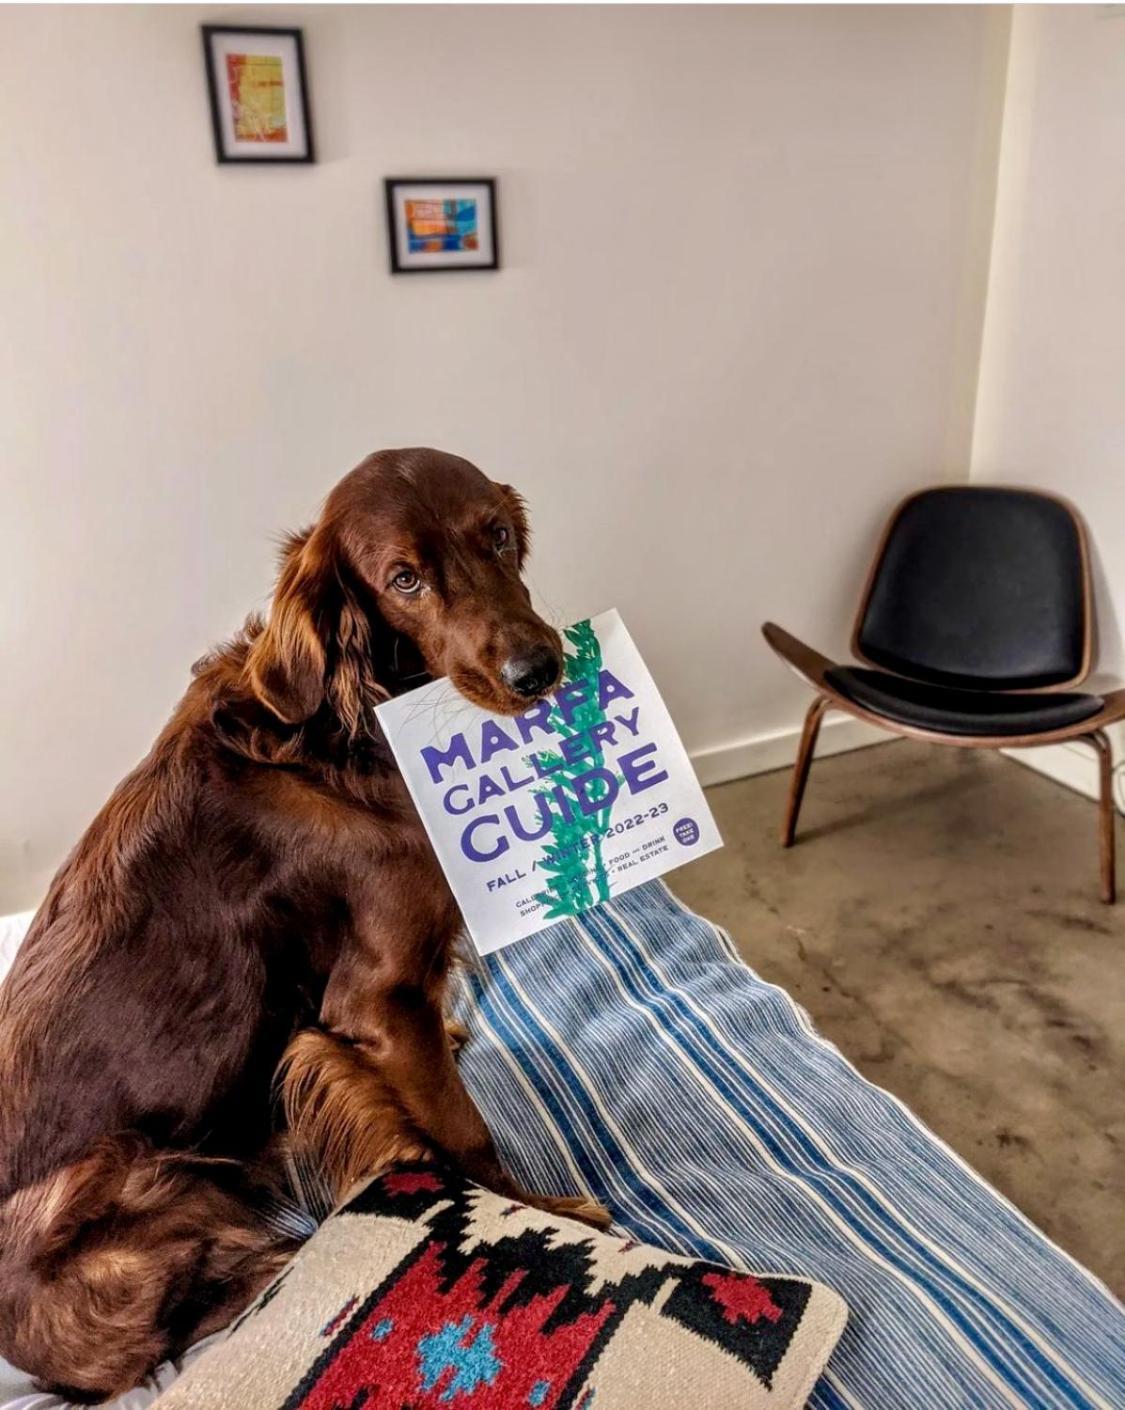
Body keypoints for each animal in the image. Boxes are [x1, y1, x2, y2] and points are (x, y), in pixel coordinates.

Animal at [0, 448, 609, 1398]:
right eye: (403, 579)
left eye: (498, 537)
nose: (538, 671)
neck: (341, 731)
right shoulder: (376, 998)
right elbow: (462, 1132)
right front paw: (544, 1211)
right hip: (134, 1172)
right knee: (200, 1308)